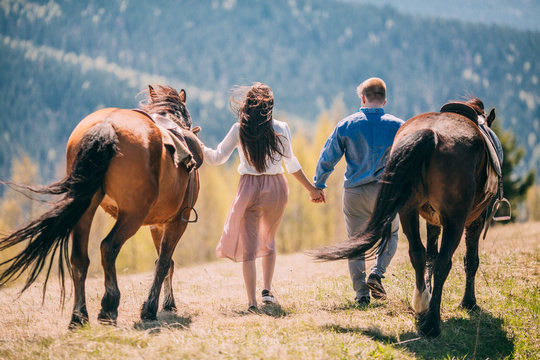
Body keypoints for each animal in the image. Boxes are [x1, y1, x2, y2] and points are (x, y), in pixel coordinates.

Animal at [0, 85, 202, 330]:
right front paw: (151, 309)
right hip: (133, 214)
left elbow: (164, 262)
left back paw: (79, 316)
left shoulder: (157, 225)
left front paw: (167, 304)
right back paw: (109, 307)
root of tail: (106, 126)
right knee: (108, 247)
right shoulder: (177, 221)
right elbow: (163, 263)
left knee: (79, 258)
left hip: (85, 207)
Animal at [316, 96, 498, 338]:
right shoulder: (475, 218)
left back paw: (420, 307)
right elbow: (470, 260)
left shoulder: (432, 219)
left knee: (417, 253)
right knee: (444, 262)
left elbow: (429, 255)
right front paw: (469, 303)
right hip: (455, 219)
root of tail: (431, 134)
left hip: (407, 210)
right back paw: (432, 324)